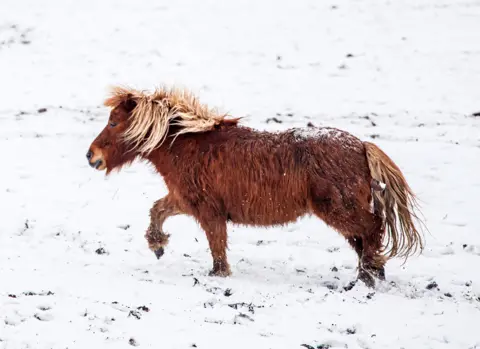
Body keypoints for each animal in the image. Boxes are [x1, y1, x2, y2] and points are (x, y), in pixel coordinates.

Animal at [86, 84, 424, 286]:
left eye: (114, 122)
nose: (92, 156)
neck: (189, 146)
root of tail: (362, 147)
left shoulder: (209, 212)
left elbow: (217, 246)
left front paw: (218, 275)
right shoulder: (185, 200)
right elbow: (157, 210)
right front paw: (157, 245)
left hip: (339, 210)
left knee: (372, 229)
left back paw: (369, 274)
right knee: (364, 238)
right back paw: (372, 273)